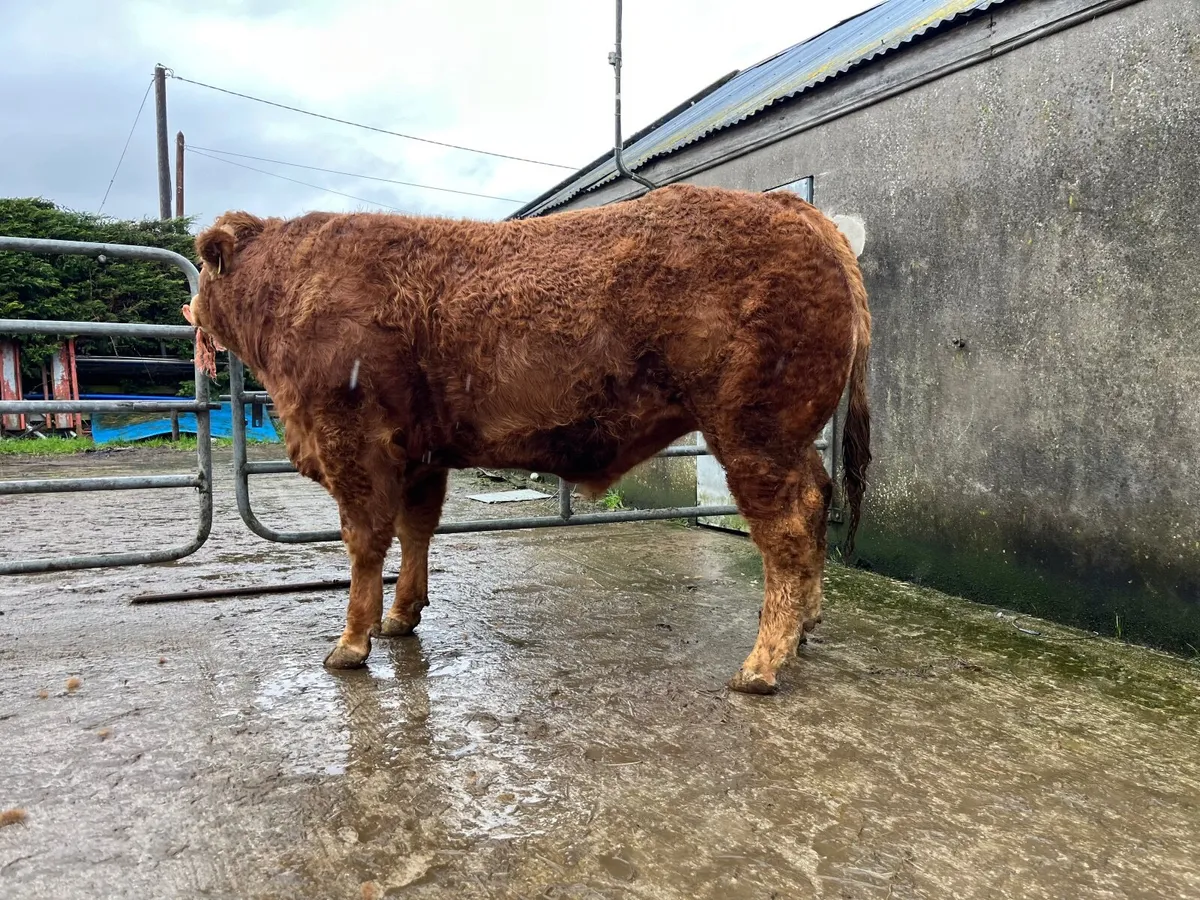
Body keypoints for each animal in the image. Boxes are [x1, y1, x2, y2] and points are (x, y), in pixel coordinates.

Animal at [184, 183, 871, 694]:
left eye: (203, 275)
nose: (190, 310)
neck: (290, 287)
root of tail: (800, 212)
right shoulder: (421, 455)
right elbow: (415, 529)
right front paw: (402, 617)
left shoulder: (354, 444)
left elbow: (364, 542)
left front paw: (352, 642)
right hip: (787, 438)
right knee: (818, 501)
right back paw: (805, 627)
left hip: (754, 433)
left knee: (789, 524)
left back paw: (762, 664)